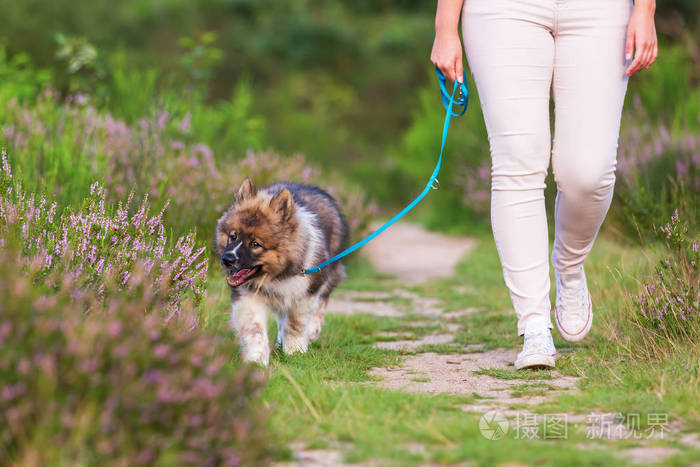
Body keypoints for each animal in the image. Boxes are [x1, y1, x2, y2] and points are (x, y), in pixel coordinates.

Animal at [212, 179, 346, 366]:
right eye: (233, 236)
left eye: (255, 244)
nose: (227, 259)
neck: (276, 277)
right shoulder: (249, 297)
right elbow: (255, 329)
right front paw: (256, 359)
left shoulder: (305, 292)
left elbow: (296, 324)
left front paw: (295, 351)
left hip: (328, 274)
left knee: (322, 300)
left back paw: (312, 330)